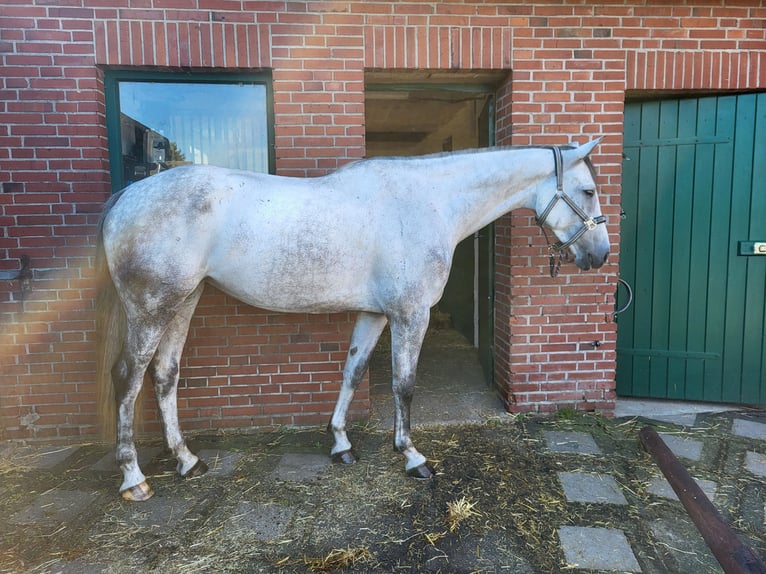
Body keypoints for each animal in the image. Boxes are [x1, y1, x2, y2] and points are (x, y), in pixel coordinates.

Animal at [96, 138, 612, 500]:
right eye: (587, 191)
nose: (600, 254)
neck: (428, 201)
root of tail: (127, 196)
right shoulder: (409, 314)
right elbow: (404, 384)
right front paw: (412, 457)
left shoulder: (374, 313)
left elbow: (353, 370)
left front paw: (341, 444)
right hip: (152, 307)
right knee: (126, 377)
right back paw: (134, 478)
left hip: (183, 302)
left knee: (165, 375)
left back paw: (187, 461)